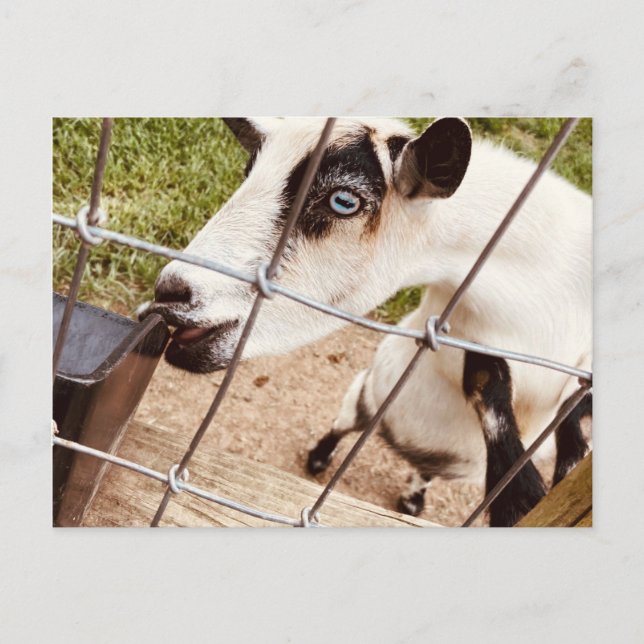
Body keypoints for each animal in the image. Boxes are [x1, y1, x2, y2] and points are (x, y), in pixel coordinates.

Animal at [145, 117, 592, 526]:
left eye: (344, 201)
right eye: (248, 173)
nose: (170, 291)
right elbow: (486, 384)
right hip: (366, 389)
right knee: (348, 423)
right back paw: (321, 458)